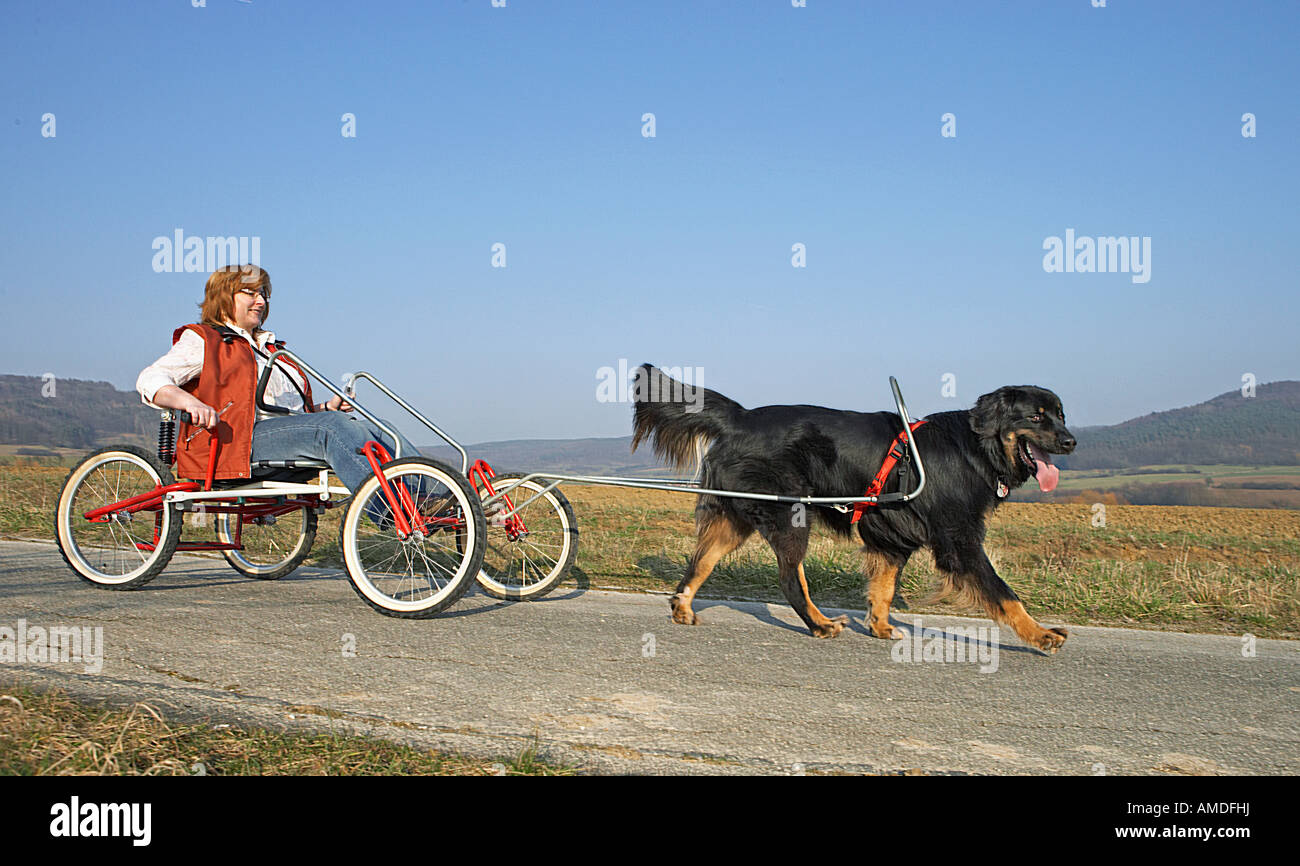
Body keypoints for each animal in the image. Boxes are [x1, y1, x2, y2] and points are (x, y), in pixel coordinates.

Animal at [631, 361, 1076, 650]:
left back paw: (682, 606)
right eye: (1036, 418)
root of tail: (740, 417)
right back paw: (820, 624)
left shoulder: (892, 539)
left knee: (701, 561)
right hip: (790, 514)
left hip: (735, 518)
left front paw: (880, 627)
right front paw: (1040, 635)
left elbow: (883, 589)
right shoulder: (959, 540)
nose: (1071, 441)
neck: (973, 445)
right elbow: (1004, 593)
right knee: (790, 579)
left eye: (1061, 415)